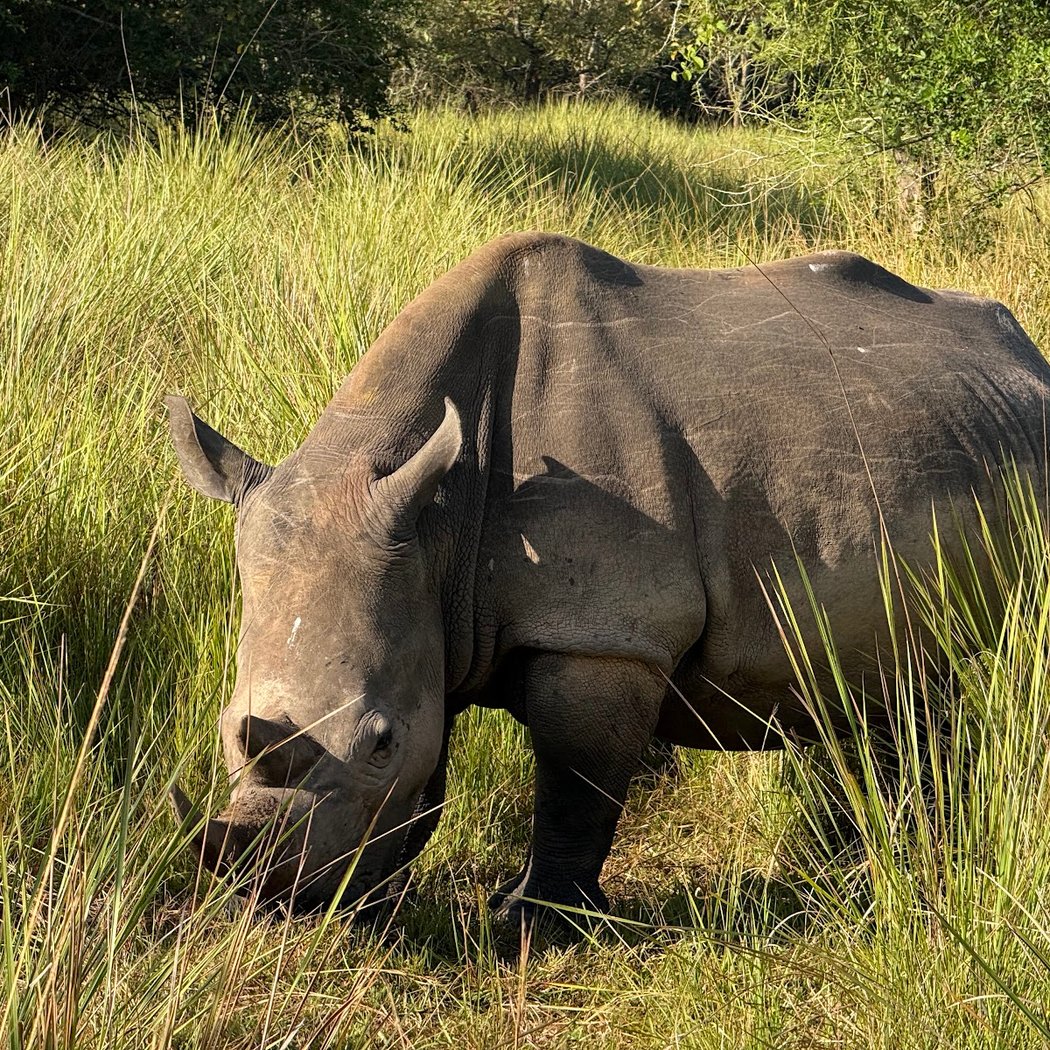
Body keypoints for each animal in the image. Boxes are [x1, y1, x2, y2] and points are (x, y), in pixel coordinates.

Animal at [168, 232, 1050, 925]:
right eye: (224, 728)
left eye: (377, 741)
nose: (277, 898)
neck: (437, 515)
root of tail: (1025, 351)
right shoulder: (424, 606)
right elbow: (435, 770)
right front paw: (379, 898)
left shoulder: (603, 632)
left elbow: (574, 783)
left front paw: (535, 921)